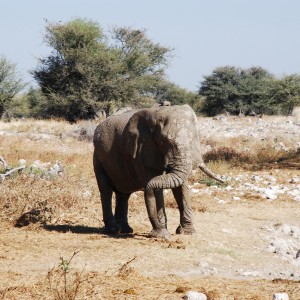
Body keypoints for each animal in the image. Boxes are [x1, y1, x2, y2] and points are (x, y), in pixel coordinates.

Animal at [92, 104, 224, 240]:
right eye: (164, 141)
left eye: (193, 139)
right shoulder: (142, 152)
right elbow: (156, 187)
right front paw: (162, 235)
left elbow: (181, 187)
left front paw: (188, 232)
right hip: (98, 158)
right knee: (106, 190)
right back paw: (114, 229)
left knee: (123, 193)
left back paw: (125, 230)